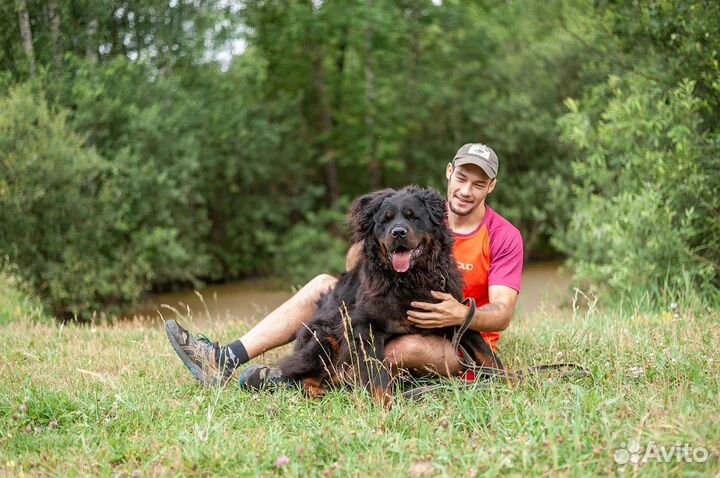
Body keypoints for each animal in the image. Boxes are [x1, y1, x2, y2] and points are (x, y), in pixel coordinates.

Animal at [278, 186, 500, 404]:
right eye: (385, 220)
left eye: (413, 217)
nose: (398, 232)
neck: (410, 280)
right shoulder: (363, 326)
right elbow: (377, 371)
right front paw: (386, 404)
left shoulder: (453, 312)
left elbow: (486, 353)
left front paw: (506, 383)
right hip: (325, 335)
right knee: (298, 371)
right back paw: (314, 390)